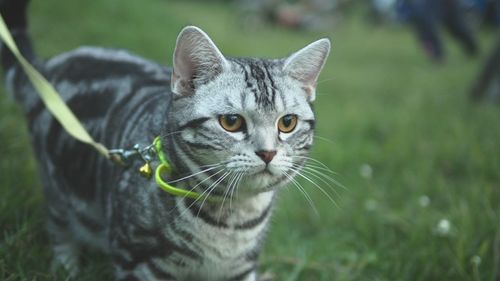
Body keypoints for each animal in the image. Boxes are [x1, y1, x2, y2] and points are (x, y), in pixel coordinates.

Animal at [0, 0, 332, 280]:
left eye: (287, 123)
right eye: (231, 122)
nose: (267, 153)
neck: (232, 219)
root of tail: (50, 64)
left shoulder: (241, 268)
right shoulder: (135, 258)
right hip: (59, 192)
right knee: (61, 230)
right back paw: (67, 267)